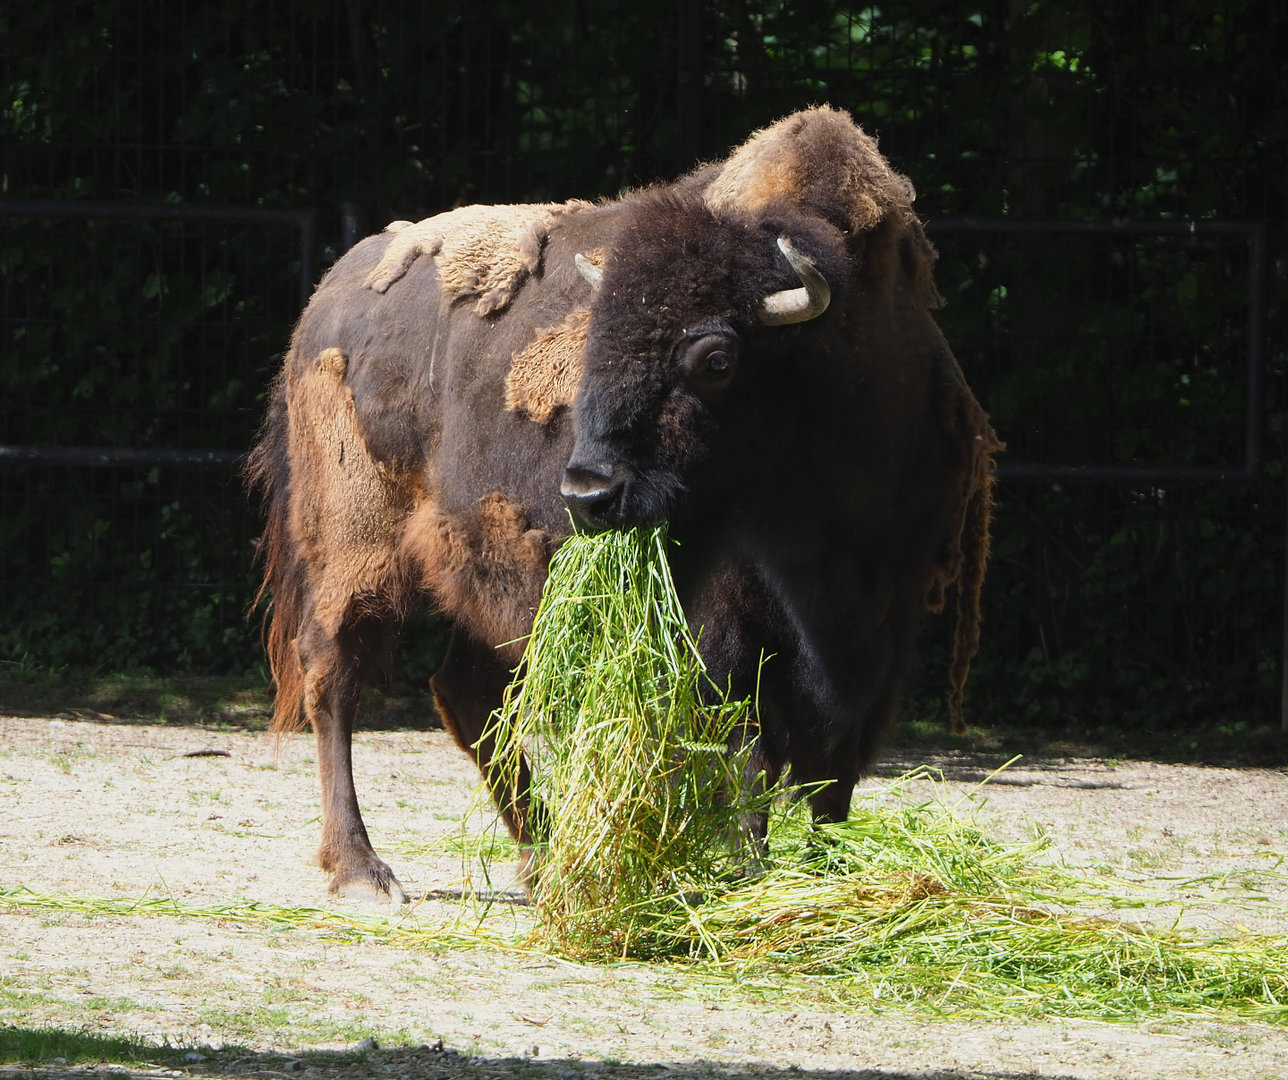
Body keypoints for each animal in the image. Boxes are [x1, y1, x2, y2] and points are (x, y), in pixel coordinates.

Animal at [247, 107, 1001, 902]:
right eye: (594, 343)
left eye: (717, 358)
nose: (588, 493)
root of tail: (328, 297)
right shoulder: (727, 635)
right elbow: (748, 759)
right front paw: (745, 875)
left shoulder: (878, 635)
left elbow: (833, 777)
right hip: (355, 547)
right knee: (336, 676)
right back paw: (363, 869)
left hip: (490, 573)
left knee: (468, 690)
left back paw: (542, 860)